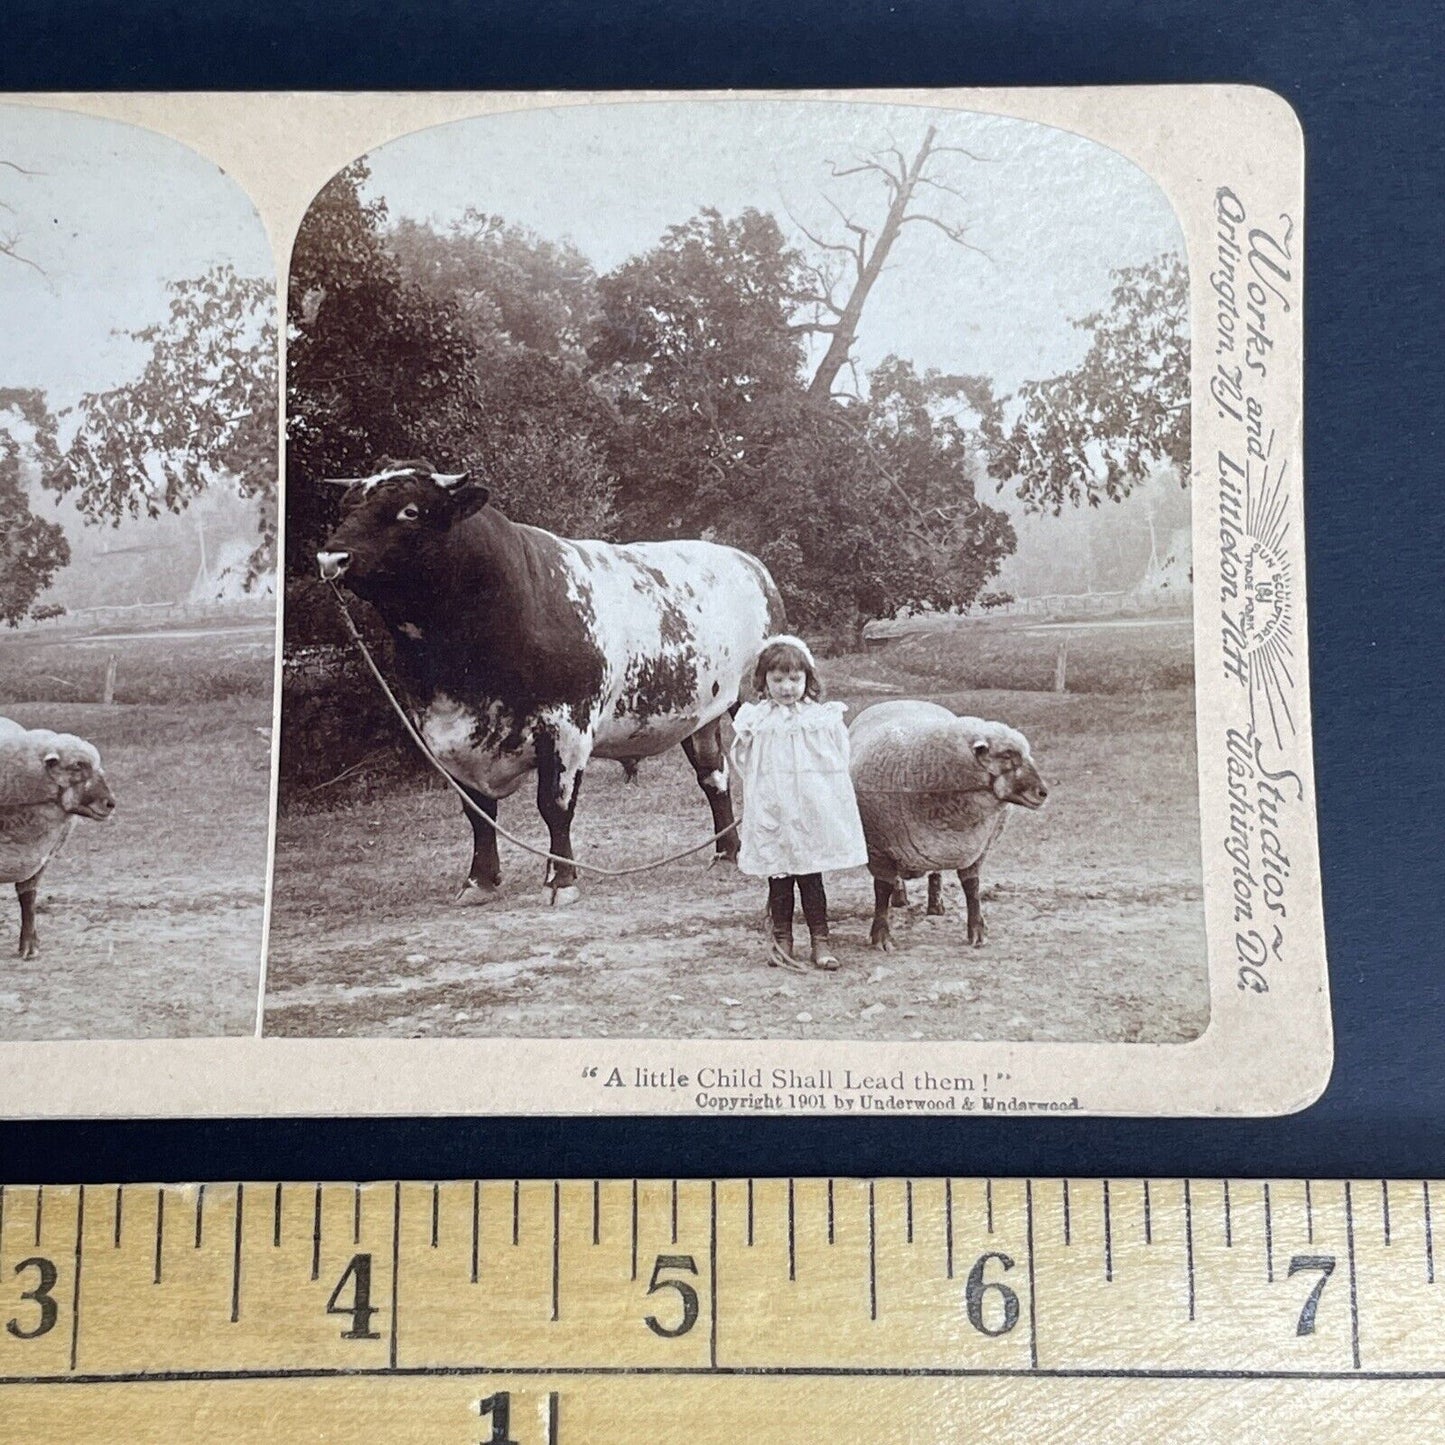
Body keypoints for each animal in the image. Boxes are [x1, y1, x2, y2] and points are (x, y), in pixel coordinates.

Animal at [849, 696, 1046, 947]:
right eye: (1007, 756)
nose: (1043, 793)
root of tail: (903, 700)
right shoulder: (877, 847)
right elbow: (881, 890)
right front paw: (881, 936)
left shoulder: (977, 848)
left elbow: (972, 887)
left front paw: (977, 931)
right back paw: (900, 896)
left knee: (935, 873)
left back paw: (935, 905)